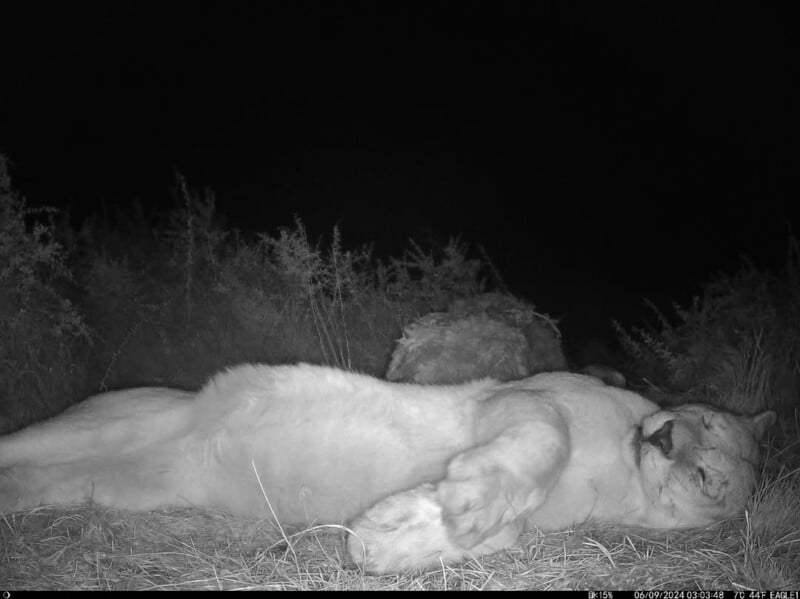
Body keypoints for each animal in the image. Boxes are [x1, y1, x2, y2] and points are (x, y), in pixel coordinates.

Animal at [0, 363, 775, 574]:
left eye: (708, 478)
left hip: (100, 483)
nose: (666, 435)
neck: (621, 466)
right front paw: (465, 502)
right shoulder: (526, 396)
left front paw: (389, 537)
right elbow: (544, 440)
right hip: (99, 421)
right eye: (703, 420)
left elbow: (508, 534)